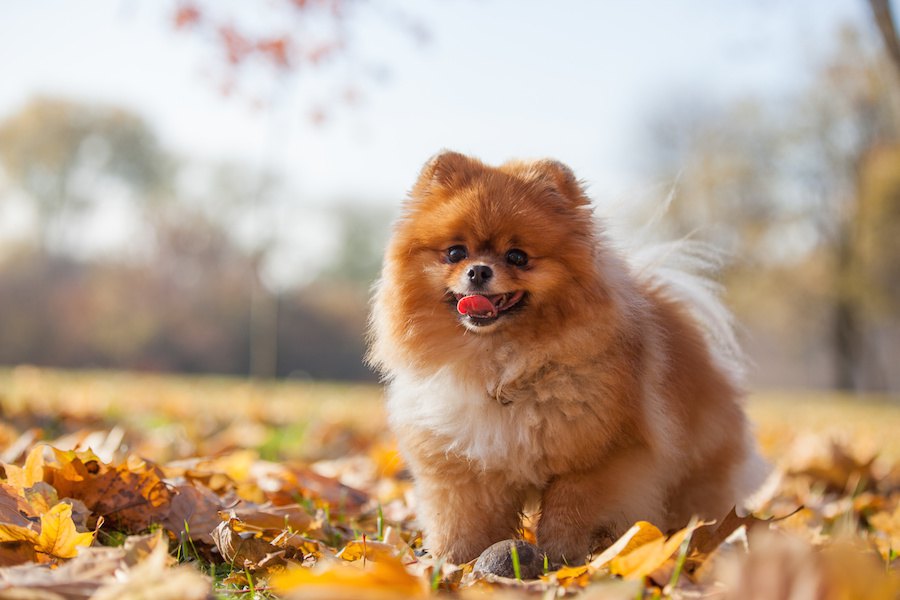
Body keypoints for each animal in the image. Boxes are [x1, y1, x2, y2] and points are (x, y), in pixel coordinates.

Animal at [366, 152, 768, 564]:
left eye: (517, 257)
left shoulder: (598, 461)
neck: (501, 364)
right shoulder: (463, 466)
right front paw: (453, 562)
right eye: (455, 253)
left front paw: (567, 560)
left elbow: (571, 513)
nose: (478, 271)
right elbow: (463, 519)